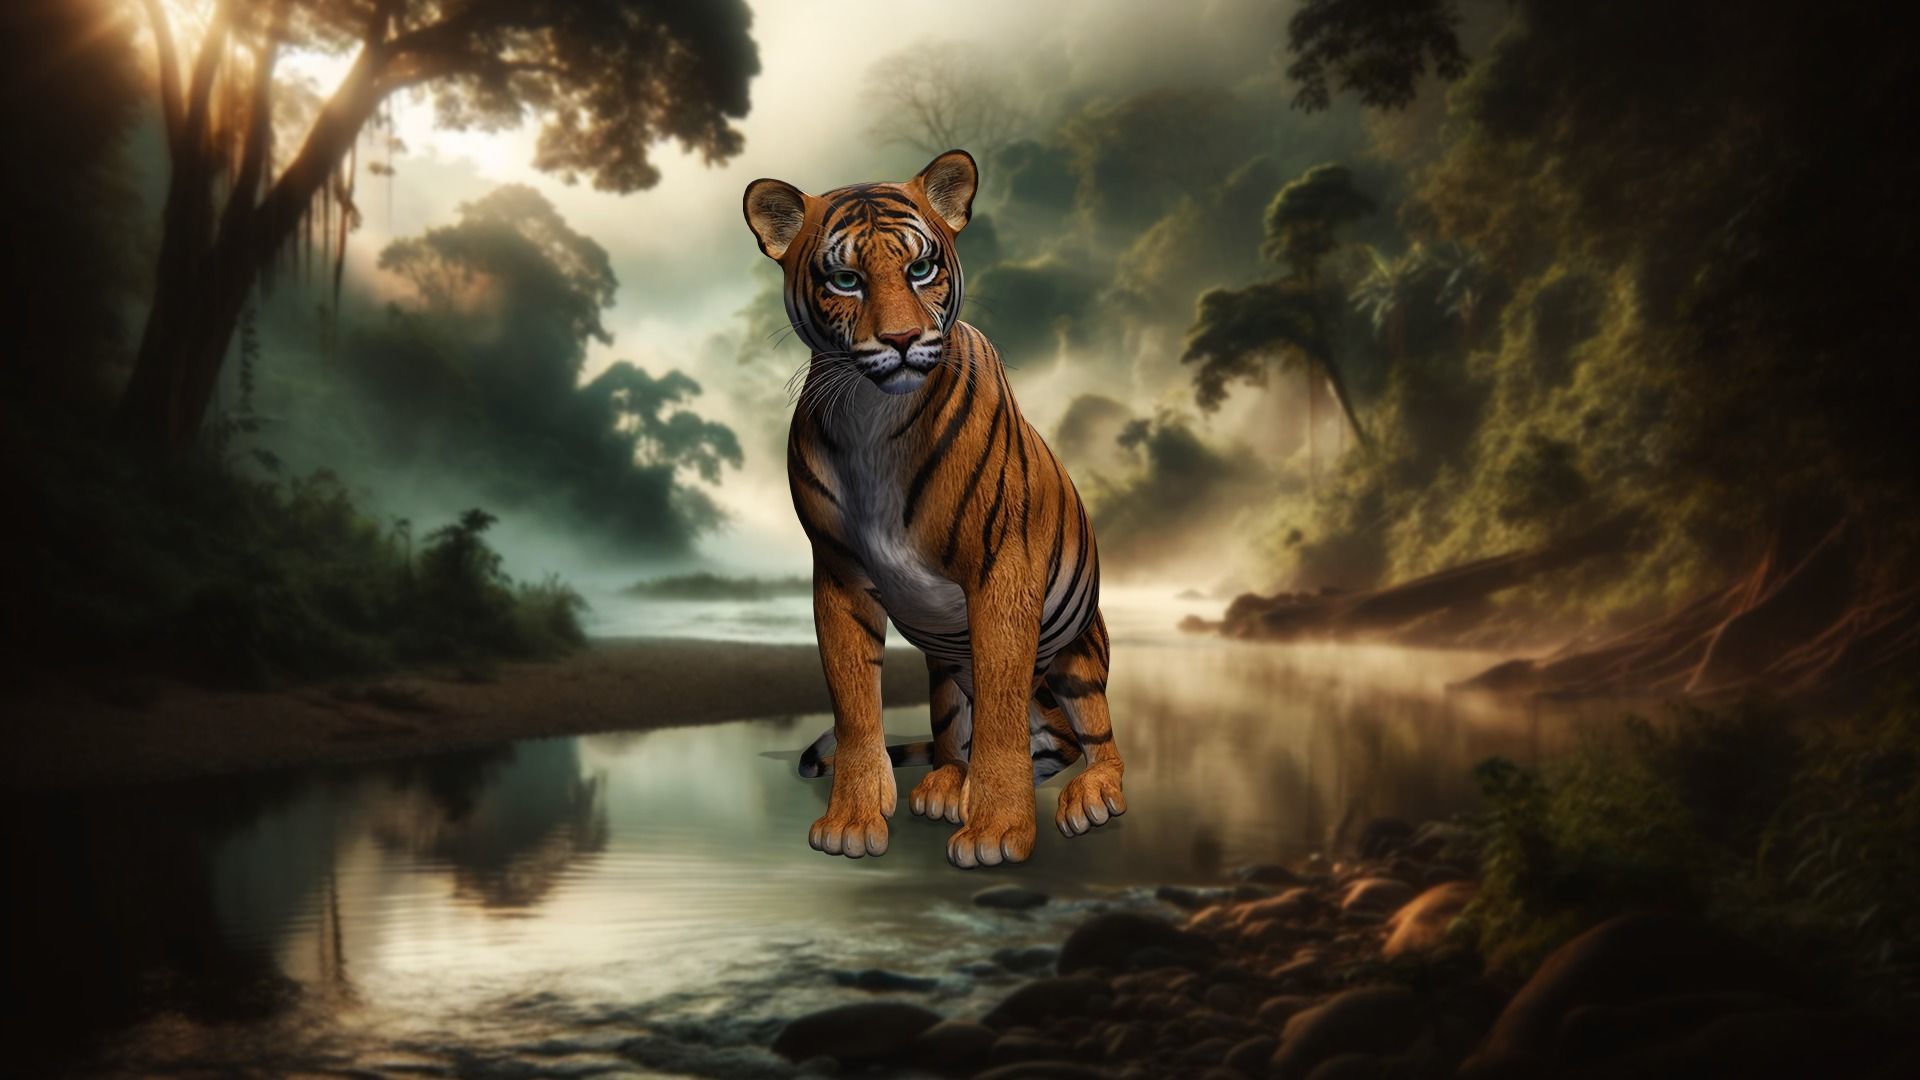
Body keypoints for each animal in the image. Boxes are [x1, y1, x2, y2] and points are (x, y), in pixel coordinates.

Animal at [742, 149, 1126, 869]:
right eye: (845, 279)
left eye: (920, 268)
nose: (899, 339)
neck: (874, 415)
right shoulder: (838, 577)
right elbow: (855, 709)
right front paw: (852, 820)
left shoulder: (1002, 571)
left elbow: (1002, 717)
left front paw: (997, 830)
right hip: (945, 674)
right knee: (961, 742)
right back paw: (949, 785)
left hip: (1077, 655)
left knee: (1092, 741)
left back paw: (1090, 794)